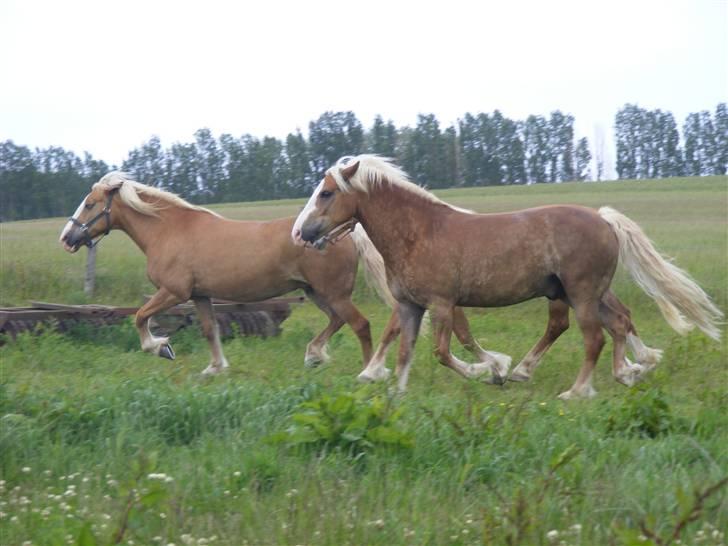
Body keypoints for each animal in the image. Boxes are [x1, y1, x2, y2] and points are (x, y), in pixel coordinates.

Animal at [59, 171, 400, 374]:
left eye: (89, 204)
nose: (66, 238)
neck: (168, 231)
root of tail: (344, 232)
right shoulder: (199, 296)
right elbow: (210, 330)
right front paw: (215, 368)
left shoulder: (173, 292)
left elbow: (141, 317)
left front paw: (160, 348)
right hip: (316, 292)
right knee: (337, 321)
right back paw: (314, 355)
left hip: (333, 292)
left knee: (360, 324)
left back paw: (368, 371)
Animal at [292, 155, 724, 398]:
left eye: (326, 193)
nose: (300, 233)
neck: (418, 233)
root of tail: (602, 218)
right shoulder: (411, 305)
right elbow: (403, 350)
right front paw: (394, 392)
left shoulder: (442, 304)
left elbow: (443, 352)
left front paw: (491, 372)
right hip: (582, 293)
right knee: (617, 323)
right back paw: (627, 371)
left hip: (582, 294)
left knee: (595, 338)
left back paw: (577, 391)